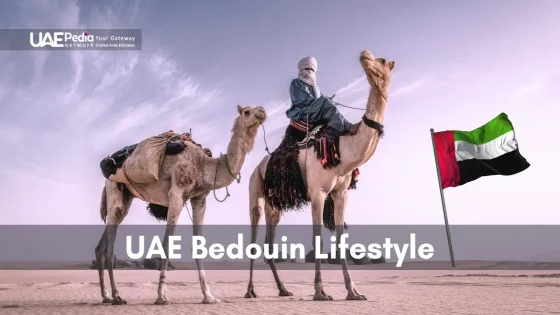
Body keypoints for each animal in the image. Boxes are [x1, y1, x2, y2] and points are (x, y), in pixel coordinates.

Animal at [94, 105, 266, 306]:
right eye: (247, 112)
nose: (262, 111)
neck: (205, 166)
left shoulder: (199, 198)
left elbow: (198, 245)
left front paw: (209, 296)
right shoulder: (176, 194)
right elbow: (166, 243)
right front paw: (161, 297)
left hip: (125, 197)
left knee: (102, 246)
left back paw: (106, 296)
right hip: (114, 190)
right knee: (110, 247)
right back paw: (116, 296)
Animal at [244, 50, 394, 302]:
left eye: (382, 61)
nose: (364, 54)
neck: (344, 148)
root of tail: (259, 166)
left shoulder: (340, 193)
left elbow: (340, 238)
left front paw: (353, 292)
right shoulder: (318, 192)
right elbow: (318, 238)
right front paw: (319, 292)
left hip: (274, 204)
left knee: (269, 244)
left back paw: (283, 289)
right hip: (255, 189)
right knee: (254, 235)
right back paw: (250, 290)